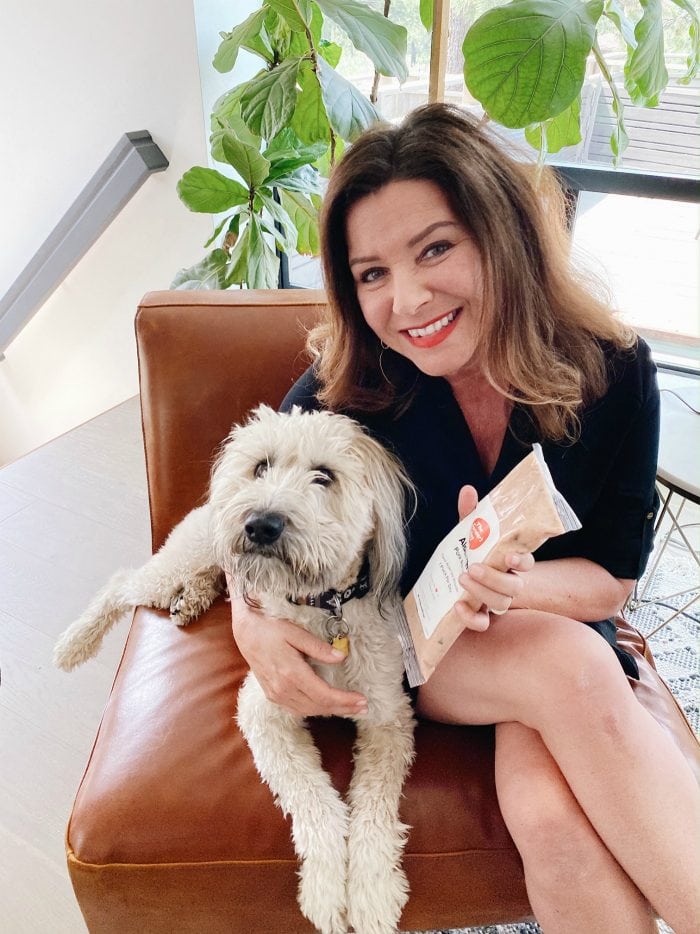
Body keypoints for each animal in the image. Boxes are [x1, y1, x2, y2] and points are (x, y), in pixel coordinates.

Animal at [56, 408, 416, 934]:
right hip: (178, 560)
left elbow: (374, 805)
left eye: (324, 475)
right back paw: (74, 643)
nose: (261, 523)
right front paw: (327, 887)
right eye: (261, 466)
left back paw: (192, 600)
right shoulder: (263, 710)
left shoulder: (389, 718)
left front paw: (372, 891)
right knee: (122, 584)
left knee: (206, 581)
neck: (321, 608)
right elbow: (314, 801)